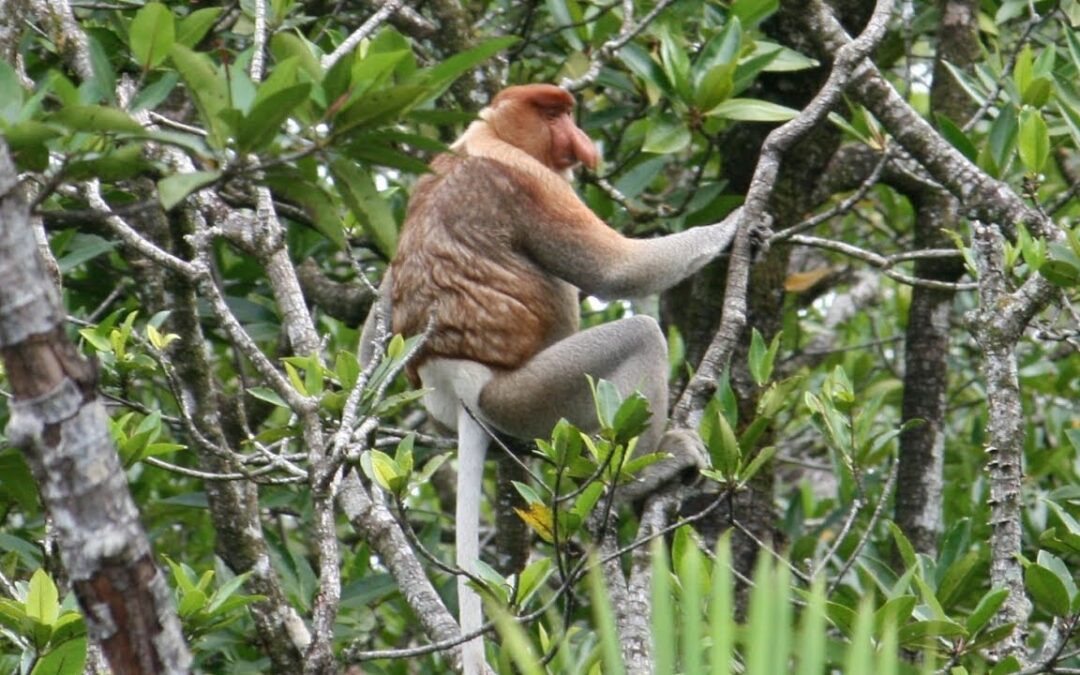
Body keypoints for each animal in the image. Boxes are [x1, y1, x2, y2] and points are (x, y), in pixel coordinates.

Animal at [360, 84, 740, 674]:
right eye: (554, 113)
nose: (581, 141)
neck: (486, 134)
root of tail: (455, 375)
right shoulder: (532, 180)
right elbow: (616, 270)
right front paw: (741, 219)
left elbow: (379, 313)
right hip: (529, 393)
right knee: (639, 335)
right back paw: (647, 472)